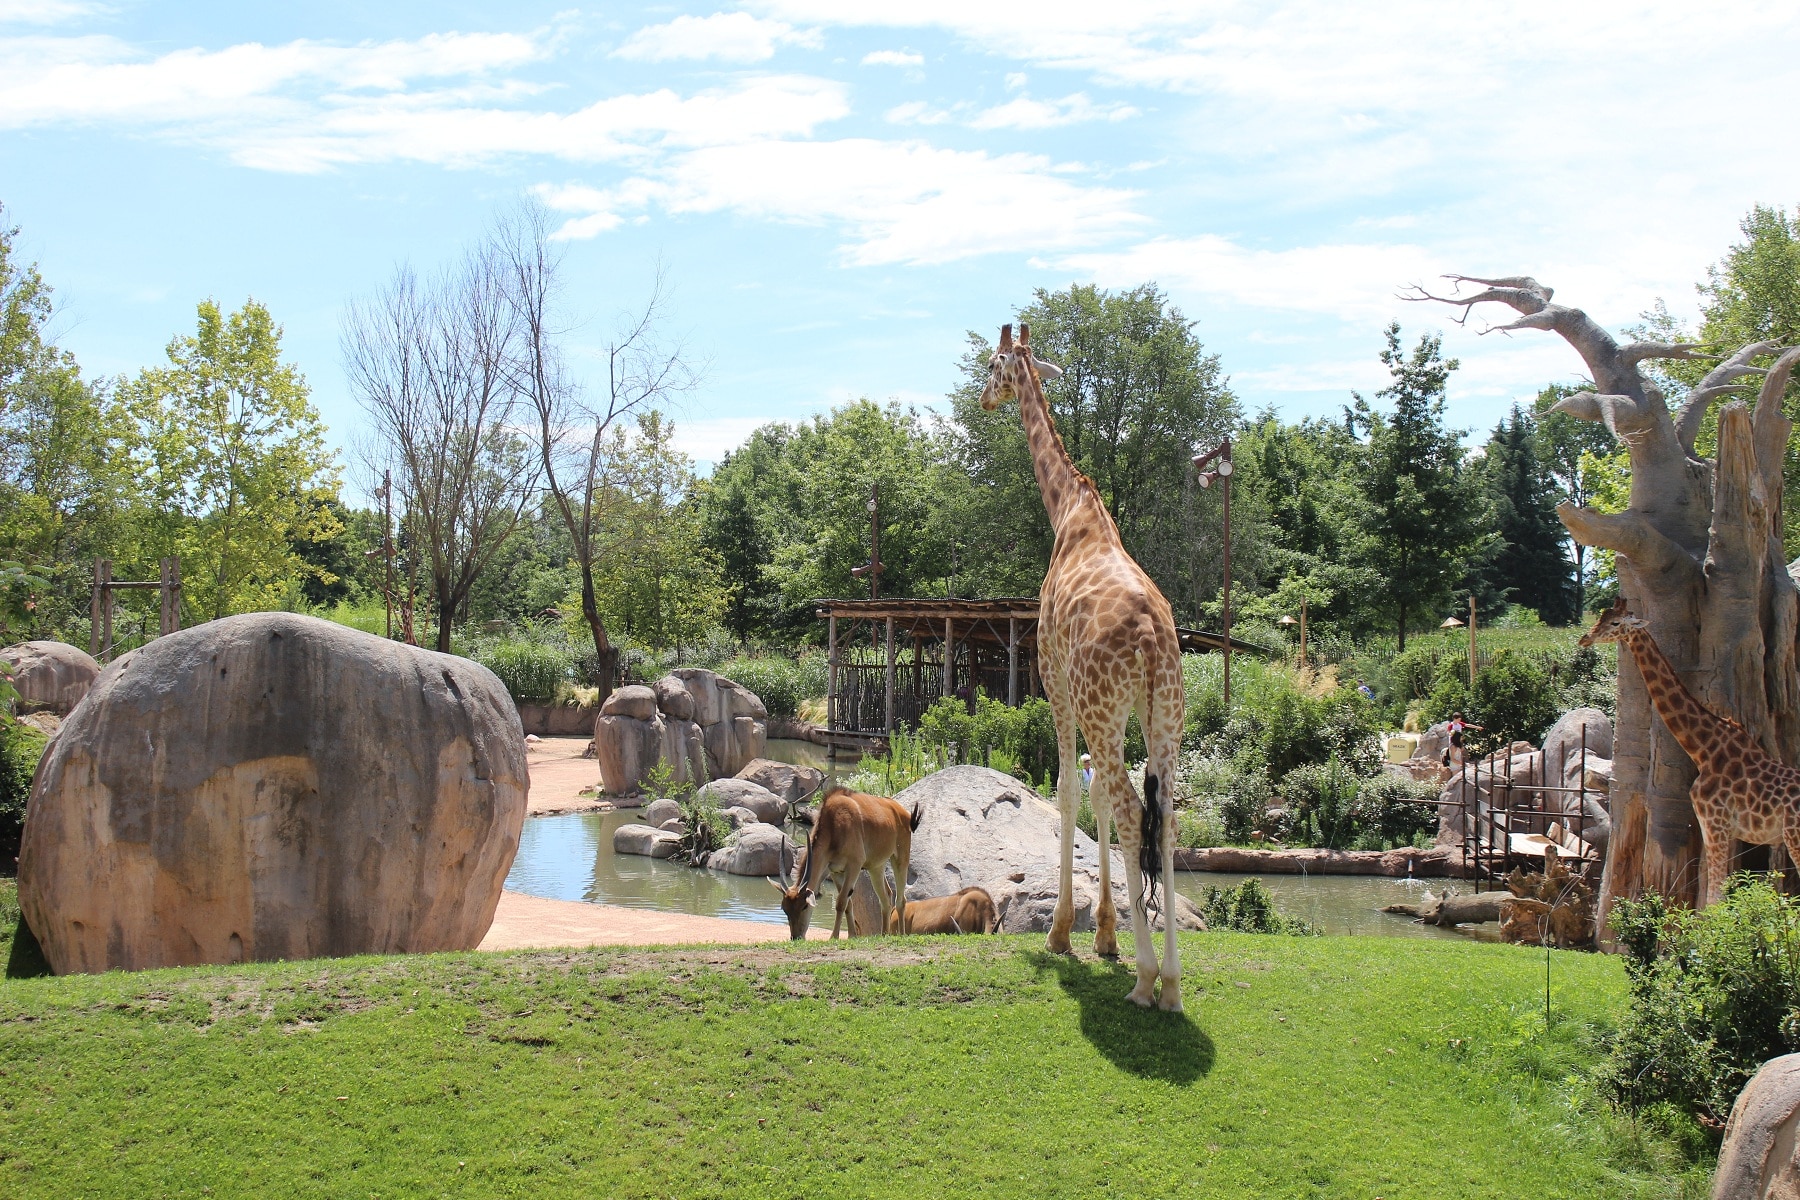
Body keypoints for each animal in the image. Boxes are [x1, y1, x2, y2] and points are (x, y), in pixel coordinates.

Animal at [770, 784, 921, 942]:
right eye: (785, 909)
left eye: (804, 906)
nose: (796, 937)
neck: (833, 824)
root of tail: (903, 812)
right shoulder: (836, 871)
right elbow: (848, 904)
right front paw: (851, 935)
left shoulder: (854, 866)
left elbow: (841, 902)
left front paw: (834, 936)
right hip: (876, 867)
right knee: (886, 897)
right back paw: (884, 934)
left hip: (900, 859)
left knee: (901, 899)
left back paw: (902, 934)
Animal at [979, 322, 1188, 1014]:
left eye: (993, 365)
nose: (982, 398)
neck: (1068, 507)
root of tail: (1150, 641)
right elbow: (1093, 795)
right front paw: (1104, 935)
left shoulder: (1055, 683)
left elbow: (1070, 791)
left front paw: (1064, 934)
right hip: (1165, 718)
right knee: (1163, 816)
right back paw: (1172, 983)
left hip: (1103, 706)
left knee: (1128, 809)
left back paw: (1148, 980)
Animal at [1584, 604, 1800, 906]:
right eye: (1602, 616)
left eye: (1615, 623)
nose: (1585, 638)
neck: (1704, 749)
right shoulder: (1716, 827)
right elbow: (1715, 895)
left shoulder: (1715, 823)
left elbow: (1714, 898)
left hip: (1794, 836)